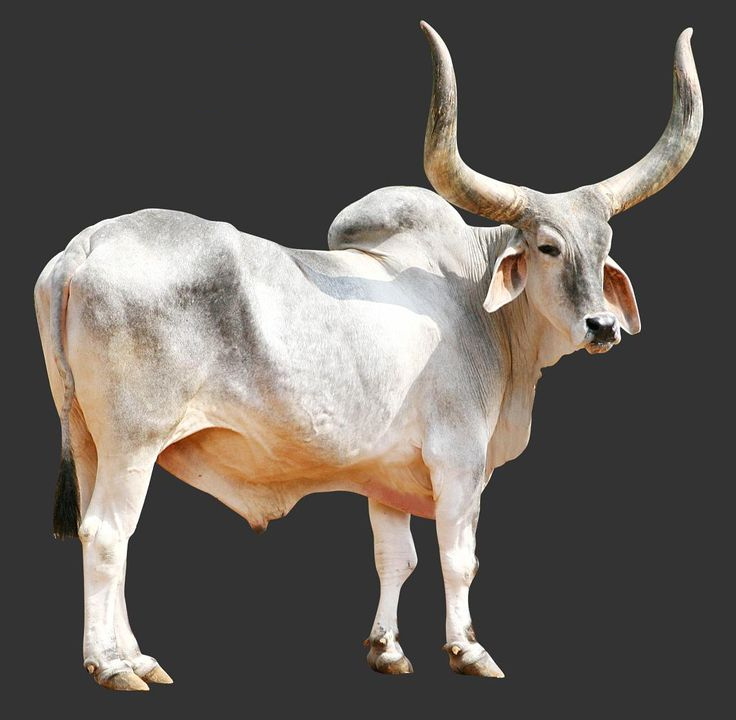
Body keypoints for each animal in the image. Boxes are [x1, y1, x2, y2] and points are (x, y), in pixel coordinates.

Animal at [34, 21, 702, 690]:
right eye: (547, 246)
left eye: (605, 245)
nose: (603, 325)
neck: (475, 298)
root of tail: (83, 249)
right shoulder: (459, 460)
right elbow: (458, 559)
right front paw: (468, 650)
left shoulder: (386, 474)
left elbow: (395, 559)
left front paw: (387, 649)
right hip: (133, 442)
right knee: (108, 534)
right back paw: (111, 665)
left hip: (90, 439)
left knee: (105, 533)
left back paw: (135, 656)